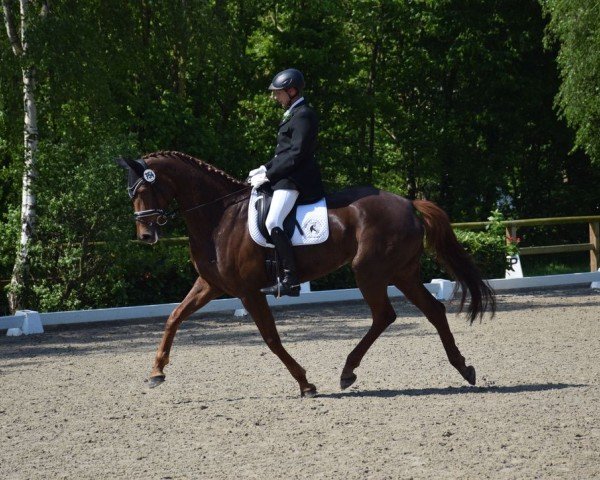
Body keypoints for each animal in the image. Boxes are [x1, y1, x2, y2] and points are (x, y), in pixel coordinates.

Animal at [116, 151, 492, 398]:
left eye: (143, 190)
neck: (219, 216)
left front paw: (305, 383)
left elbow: (271, 338)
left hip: (369, 271)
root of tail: (409, 204)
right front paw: (156, 371)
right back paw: (464, 368)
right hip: (402, 272)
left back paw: (348, 371)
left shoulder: (247, 291)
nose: (145, 236)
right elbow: (174, 317)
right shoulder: (211, 285)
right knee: (433, 311)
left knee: (385, 315)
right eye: (130, 193)